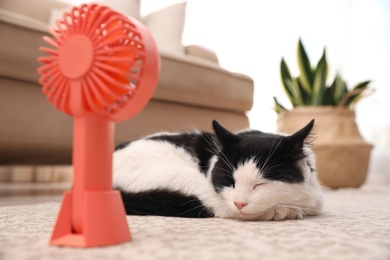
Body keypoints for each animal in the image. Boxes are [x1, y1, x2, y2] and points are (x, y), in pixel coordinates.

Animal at [112, 119, 322, 219]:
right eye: (230, 182)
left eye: (260, 184)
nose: (239, 203)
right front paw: (282, 209)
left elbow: (316, 204)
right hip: (184, 174)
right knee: (212, 204)